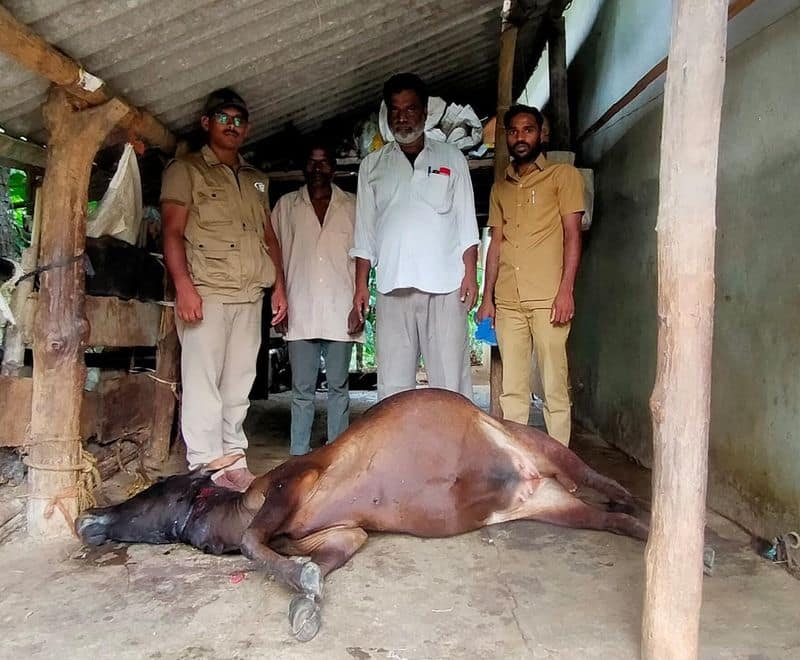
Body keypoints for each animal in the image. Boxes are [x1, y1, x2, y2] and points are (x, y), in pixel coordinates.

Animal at [76, 390, 648, 640]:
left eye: (154, 488)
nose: (88, 518)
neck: (238, 510)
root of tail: (529, 475)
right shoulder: (345, 536)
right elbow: (309, 561)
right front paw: (306, 595)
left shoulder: (292, 483)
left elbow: (254, 546)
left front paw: (303, 588)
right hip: (551, 506)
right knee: (608, 519)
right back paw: (647, 532)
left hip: (545, 447)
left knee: (606, 483)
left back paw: (661, 520)